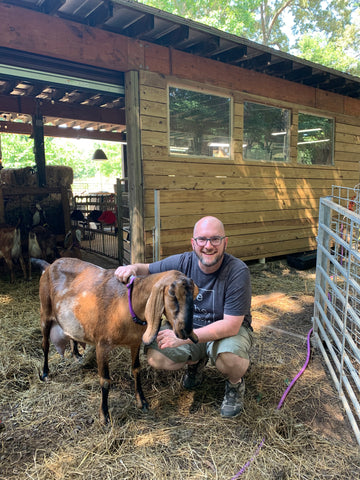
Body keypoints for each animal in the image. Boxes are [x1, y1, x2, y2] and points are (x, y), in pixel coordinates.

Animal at [32, 258, 198, 424]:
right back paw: (45, 373)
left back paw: (77, 355)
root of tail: (49, 266)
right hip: (44, 312)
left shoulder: (135, 342)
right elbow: (105, 380)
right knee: (45, 344)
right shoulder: (102, 345)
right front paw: (104, 415)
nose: (185, 331)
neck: (126, 304)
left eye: (194, 295)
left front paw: (142, 401)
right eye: (171, 293)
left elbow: (136, 369)